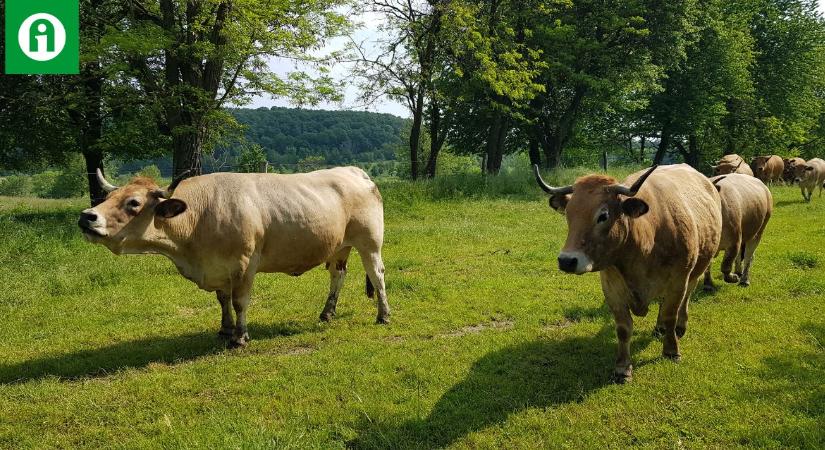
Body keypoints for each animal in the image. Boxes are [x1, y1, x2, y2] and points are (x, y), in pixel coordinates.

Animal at [79, 167, 388, 346]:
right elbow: (222, 299)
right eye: (110, 197)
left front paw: (240, 337)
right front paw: (225, 329)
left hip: (370, 241)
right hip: (338, 246)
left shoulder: (244, 264)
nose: (86, 216)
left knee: (377, 274)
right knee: (338, 274)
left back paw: (383, 315)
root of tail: (355, 171)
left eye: (134, 203)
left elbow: (240, 302)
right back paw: (327, 313)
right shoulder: (218, 267)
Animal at [536, 165, 720, 384]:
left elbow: (670, 316)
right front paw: (623, 368)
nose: (566, 260)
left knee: (686, 298)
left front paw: (671, 350)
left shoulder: (678, 281)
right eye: (569, 214)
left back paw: (680, 326)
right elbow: (624, 329)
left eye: (603, 216)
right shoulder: (611, 286)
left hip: (695, 271)